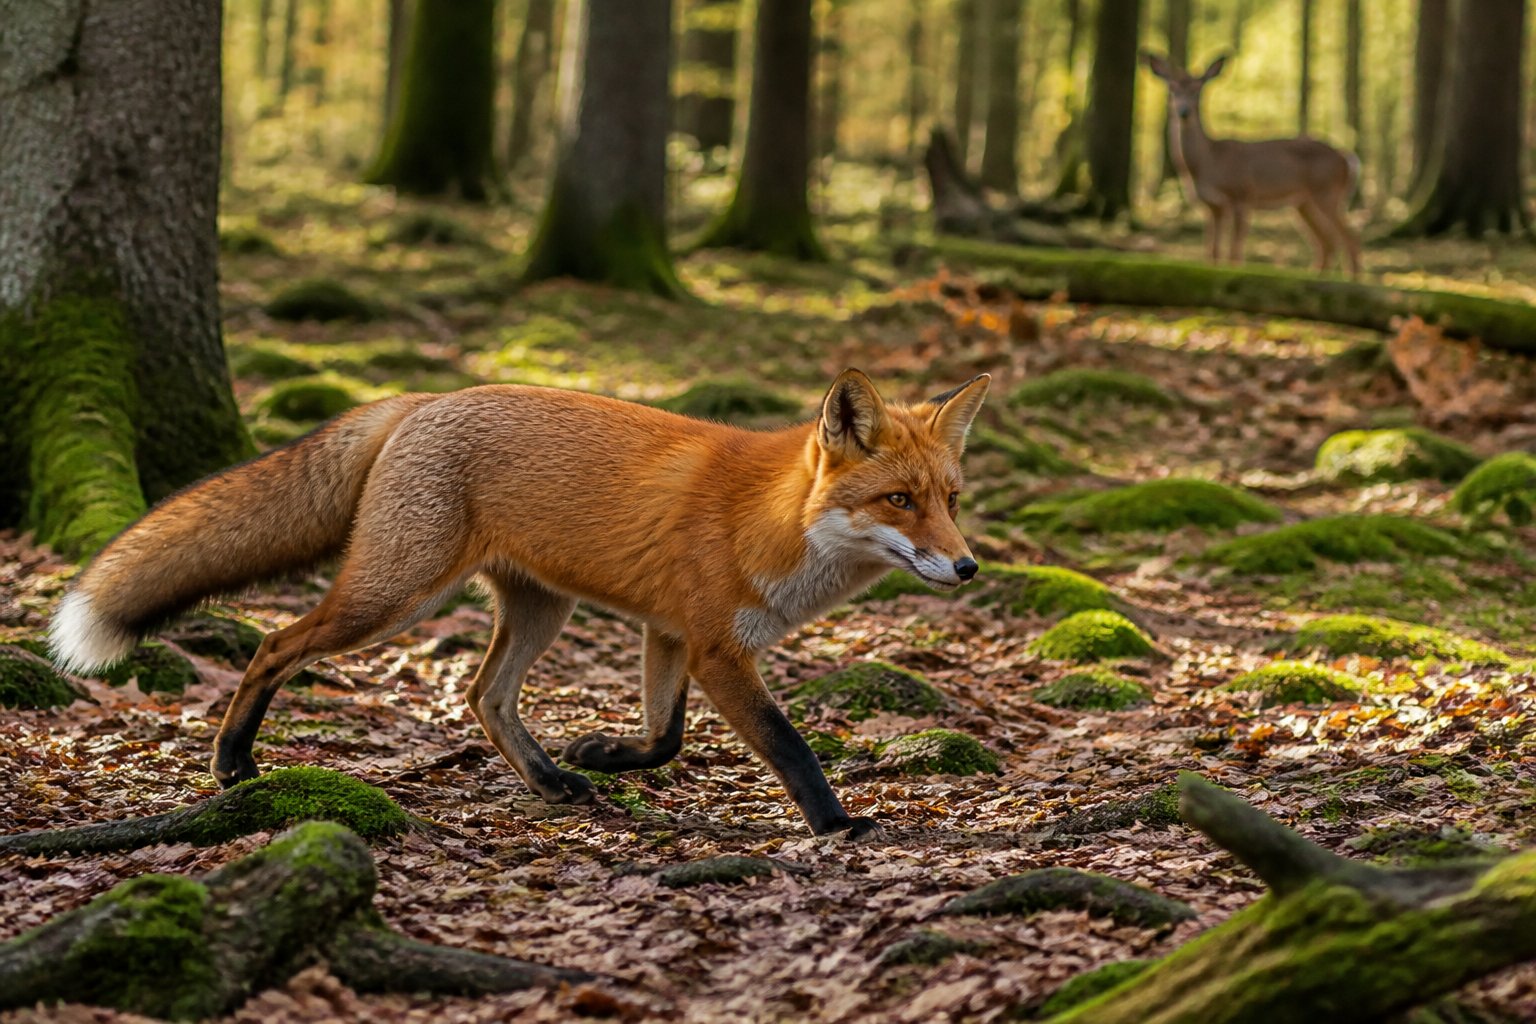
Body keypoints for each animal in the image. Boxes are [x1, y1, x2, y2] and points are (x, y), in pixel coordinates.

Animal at [50, 369, 990, 838]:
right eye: (899, 501)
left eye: (951, 498)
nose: (969, 566)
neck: (773, 522)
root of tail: (426, 400)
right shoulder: (717, 647)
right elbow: (787, 745)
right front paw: (838, 826)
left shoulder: (670, 634)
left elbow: (664, 738)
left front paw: (601, 752)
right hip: (392, 599)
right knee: (274, 644)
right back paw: (232, 761)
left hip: (539, 610)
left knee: (482, 696)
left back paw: (551, 779)